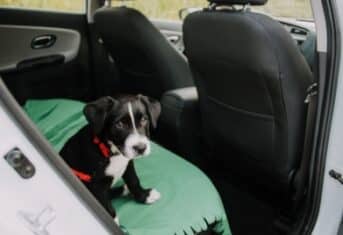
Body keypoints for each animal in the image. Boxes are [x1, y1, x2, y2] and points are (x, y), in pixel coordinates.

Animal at [60, 94, 163, 223]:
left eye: (144, 119)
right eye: (119, 124)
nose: (141, 148)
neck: (112, 152)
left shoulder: (127, 163)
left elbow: (134, 180)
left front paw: (143, 196)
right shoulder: (97, 185)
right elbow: (107, 207)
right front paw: (115, 223)